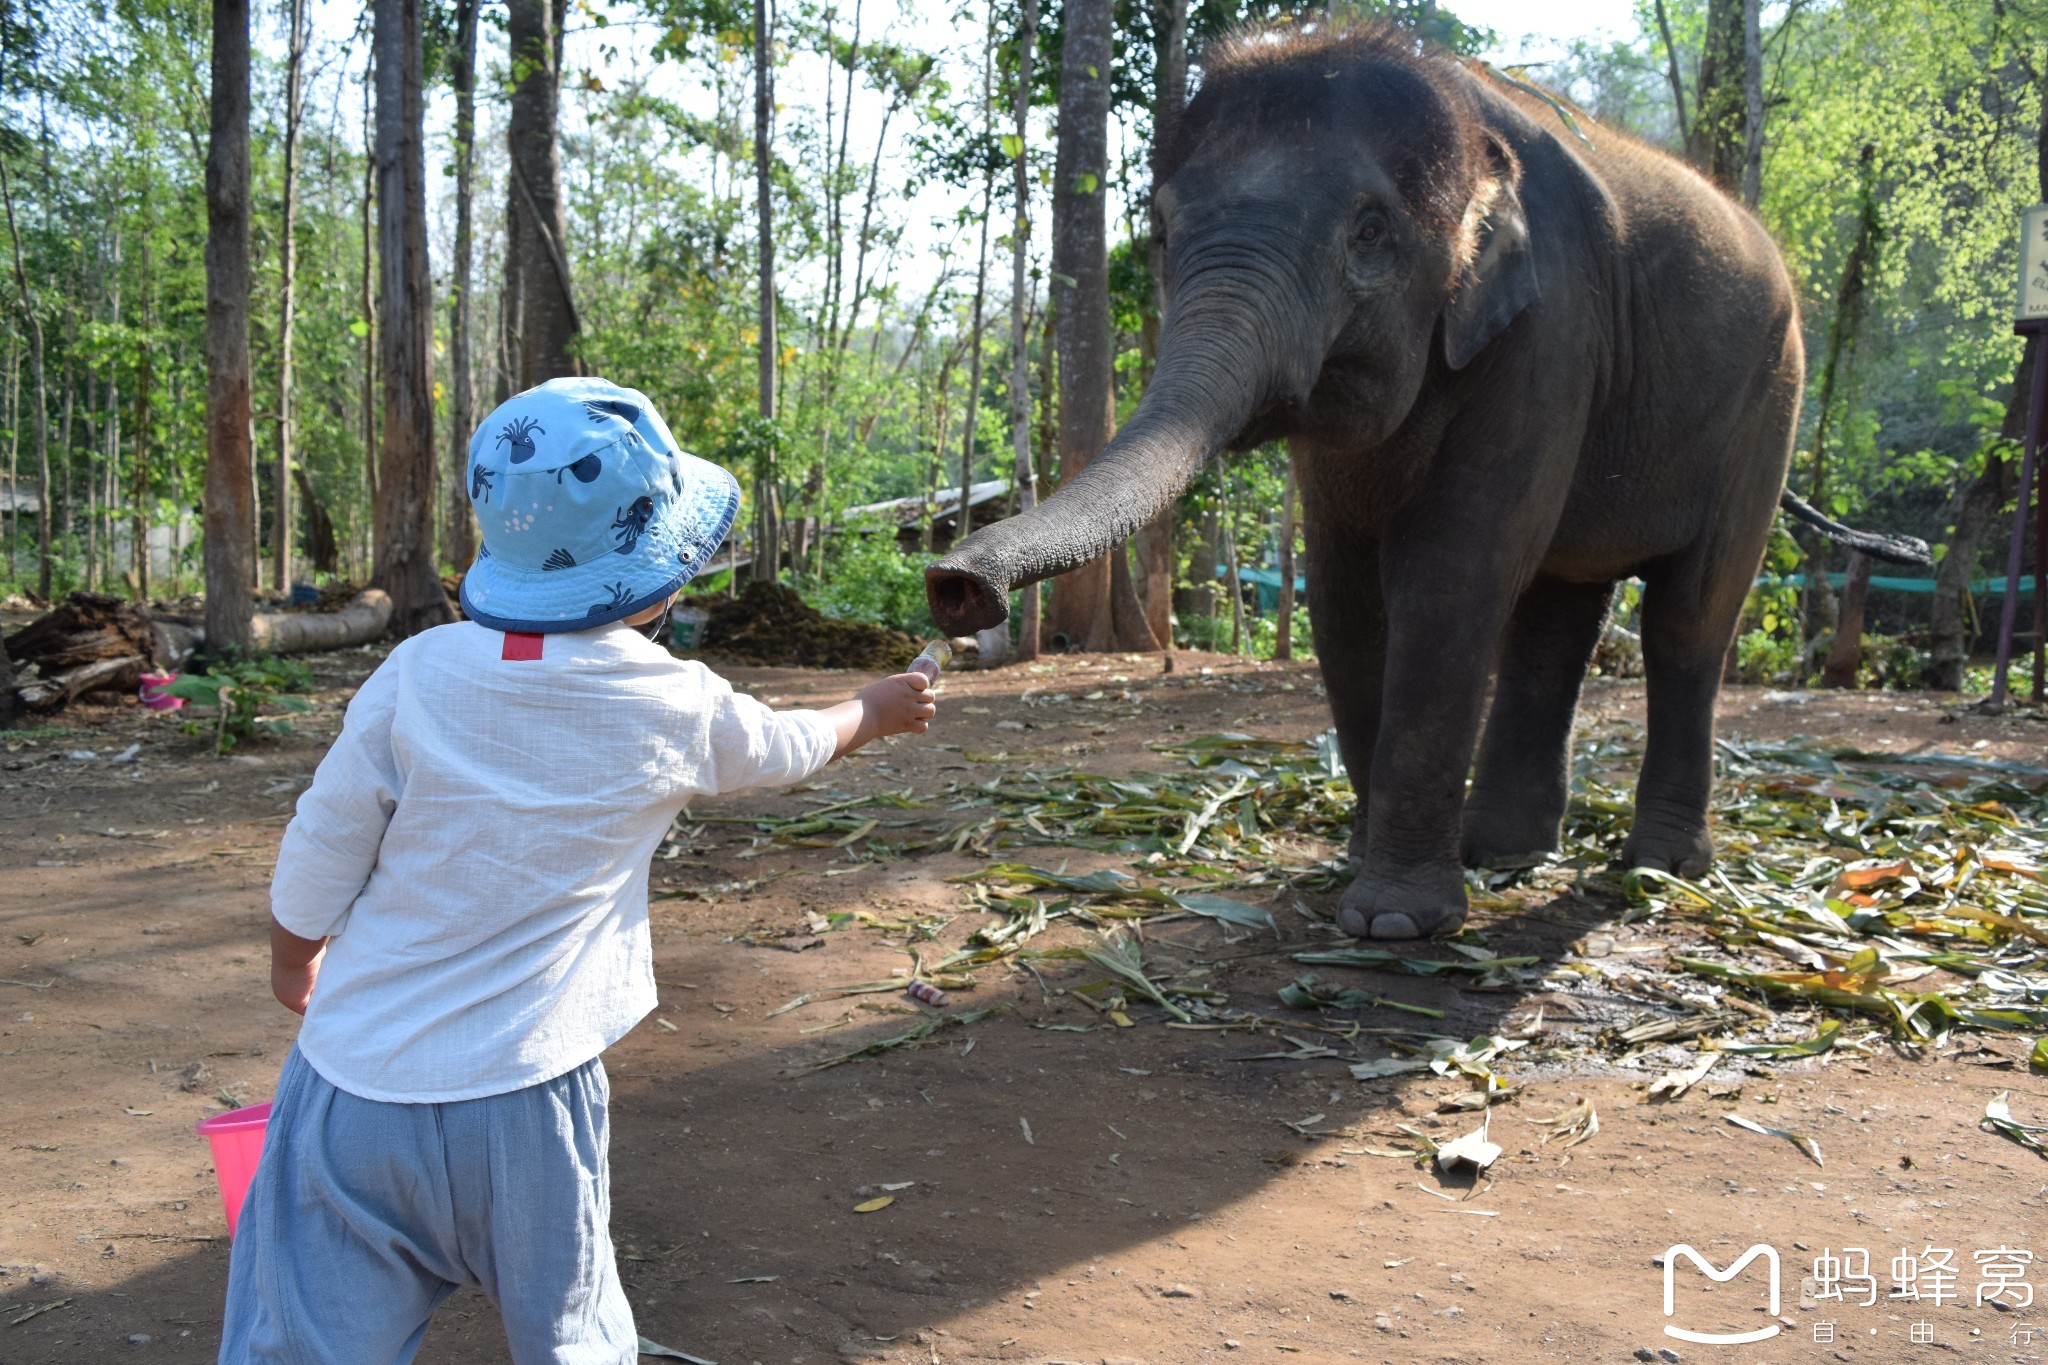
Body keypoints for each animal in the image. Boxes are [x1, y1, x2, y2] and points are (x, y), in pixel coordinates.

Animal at [929, 24, 1916, 941]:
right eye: (1164, 233)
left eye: (1370, 233)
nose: (953, 587)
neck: (1466, 122)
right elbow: (1344, 593)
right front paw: (1360, 870)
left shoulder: (1551, 331)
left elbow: (1447, 577)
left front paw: (1395, 923)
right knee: (1557, 613)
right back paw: (1503, 850)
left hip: (1770, 400)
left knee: (1688, 616)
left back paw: (1658, 870)